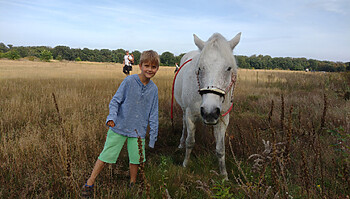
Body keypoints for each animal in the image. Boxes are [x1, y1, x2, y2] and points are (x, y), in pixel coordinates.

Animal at [174, 32, 241, 179]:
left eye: (228, 68)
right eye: (200, 68)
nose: (209, 112)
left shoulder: (222, 119)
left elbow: (220, 149)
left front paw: (224, 175)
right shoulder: (190, 115)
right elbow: (190, 141)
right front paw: (185, 164)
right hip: (184, 110)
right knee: (184, 126)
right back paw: (181, 143)